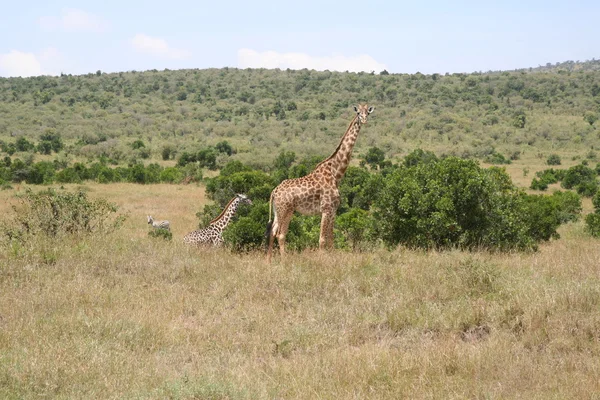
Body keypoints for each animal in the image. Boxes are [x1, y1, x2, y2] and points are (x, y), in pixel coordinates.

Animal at [268, 103, 376, 262]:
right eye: (358, 113)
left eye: (367, 112)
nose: (364, 120)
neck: (335, 174)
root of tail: (274, 191)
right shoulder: (325, 209)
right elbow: (322, 239)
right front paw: (322, 261)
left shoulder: (333, 210)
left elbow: (331, 239)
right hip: (285, 210)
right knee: (280, 234)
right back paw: (284, 260)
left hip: (280, 211)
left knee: (272, 232)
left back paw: (268, 261)